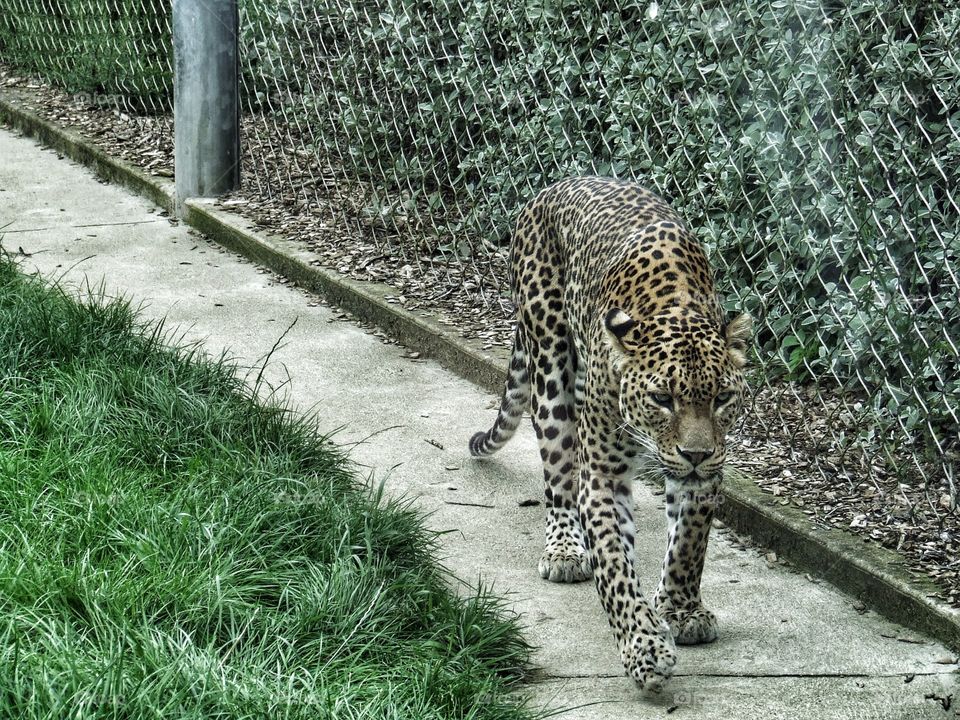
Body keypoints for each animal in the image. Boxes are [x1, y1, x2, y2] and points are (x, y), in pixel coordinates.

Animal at [469, 176, 751, 693]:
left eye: (722, 397)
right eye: (662, 398)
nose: (696, 453)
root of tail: (557, 186)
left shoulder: (705, 476)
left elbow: (689, 543)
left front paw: (681, 611)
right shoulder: (603, 474)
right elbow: (614, 564)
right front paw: (643, 646)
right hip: (551, 367)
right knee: (559, 476)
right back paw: (563, 549)